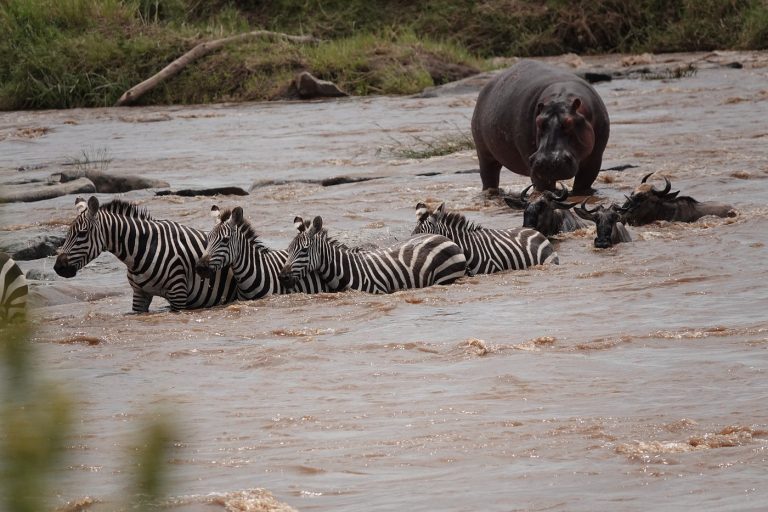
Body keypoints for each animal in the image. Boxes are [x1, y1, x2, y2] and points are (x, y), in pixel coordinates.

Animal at [278, 215, 467, 294]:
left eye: (304, 250)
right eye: (289, 250)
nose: (282, 277)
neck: (347, 271)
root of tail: (443, 237)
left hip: (445, 277)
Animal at [471, 59, 610, 195]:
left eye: (569, 122)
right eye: (538, 121)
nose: (547, 162)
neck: (561, 97)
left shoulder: (594, 159)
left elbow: (583, 183)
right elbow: (543, 186)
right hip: (484, 153)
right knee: (489, 174)